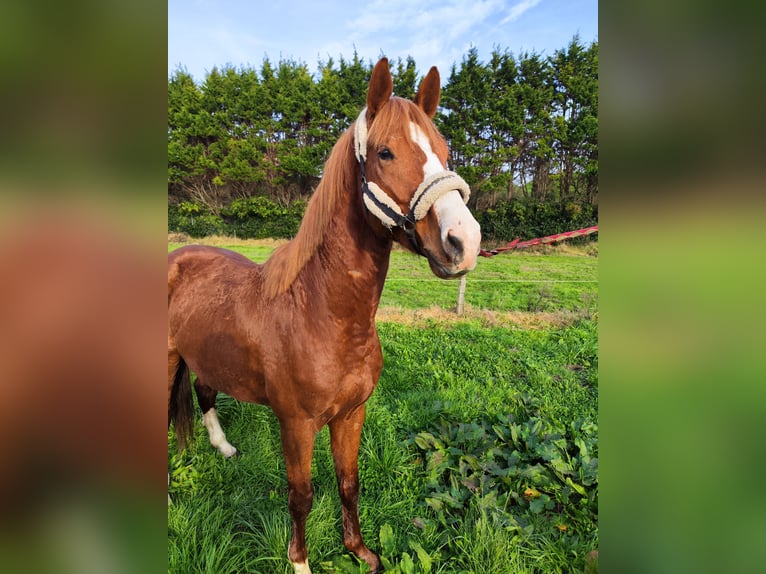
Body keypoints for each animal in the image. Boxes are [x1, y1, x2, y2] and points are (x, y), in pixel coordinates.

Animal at [168, 59, 480, 574]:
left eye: (444, 150)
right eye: (385, 153)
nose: (464, 241)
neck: (324, 315)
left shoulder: (352, 414)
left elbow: (348, 483)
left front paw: (360, 551)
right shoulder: (295, 426)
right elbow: (301, 496)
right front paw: (300, 563)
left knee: (205, 389)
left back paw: (224, 448)